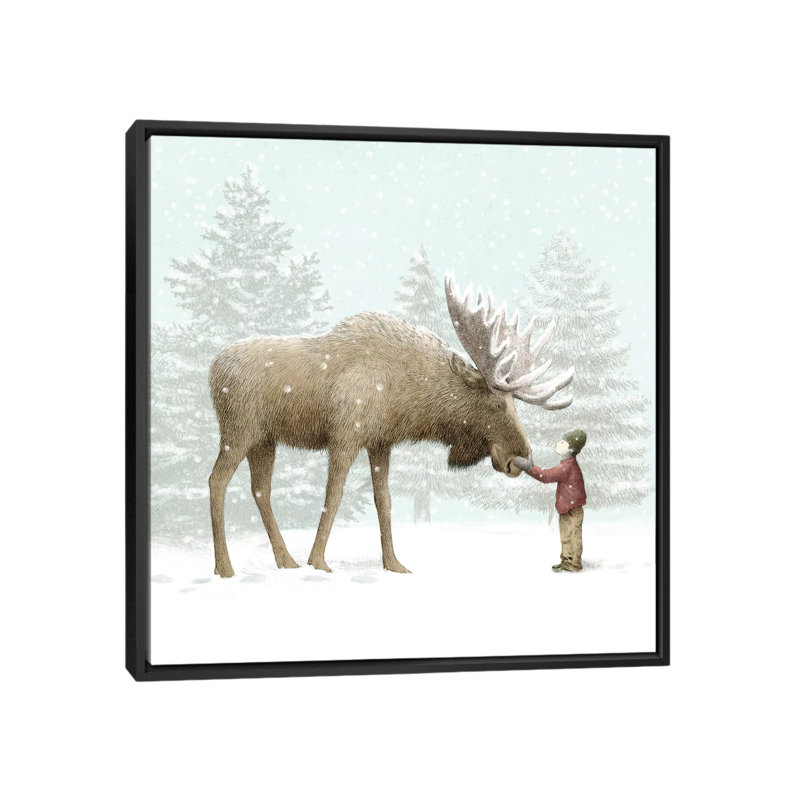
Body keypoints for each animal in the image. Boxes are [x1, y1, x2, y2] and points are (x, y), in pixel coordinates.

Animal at [208, 272, 574, 576]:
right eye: (497, 403)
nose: (521, 457)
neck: (408, 399)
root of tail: (211, 370)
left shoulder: (380, 442)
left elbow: (383, 501)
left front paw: (394, 563)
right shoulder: (345, 436)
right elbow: (334, 495)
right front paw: (319, 562)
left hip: (264, 440)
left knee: (260, 490)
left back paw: (285, 560)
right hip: (238, 431)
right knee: (216, 481)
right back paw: (225, 568)